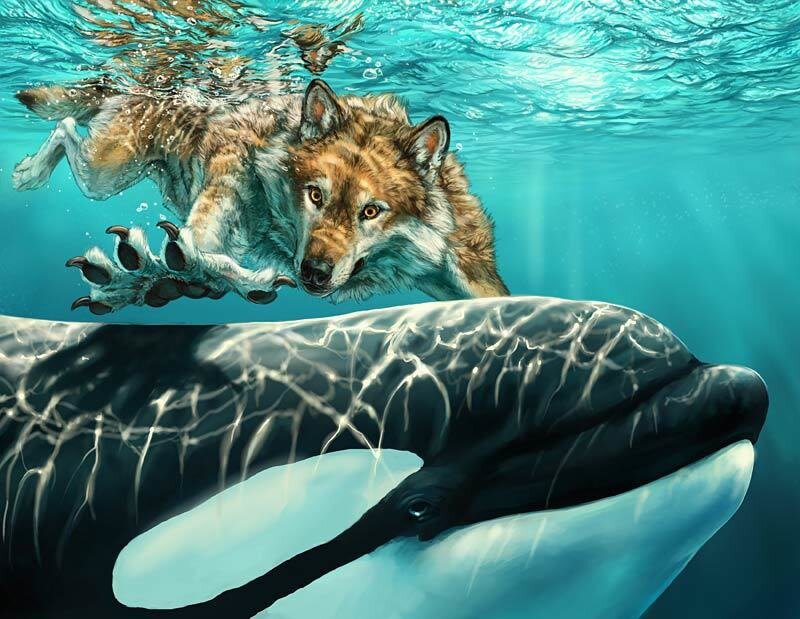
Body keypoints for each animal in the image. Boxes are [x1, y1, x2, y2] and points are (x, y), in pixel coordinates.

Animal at [13, 78, 508, 313]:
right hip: (104, 175)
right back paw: (28, 173)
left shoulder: (465, 266)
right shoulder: (226, 173)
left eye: (371, 211)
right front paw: (152, 275)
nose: (314, 274)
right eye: (315, 196)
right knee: (65, 127)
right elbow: (197, 244)